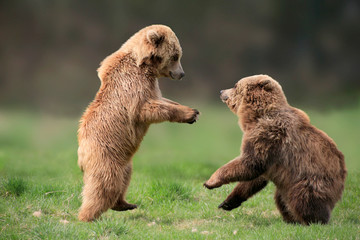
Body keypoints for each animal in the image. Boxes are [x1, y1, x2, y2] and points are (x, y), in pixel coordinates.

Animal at [77, 24, 200, 221]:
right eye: (176, 56)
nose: (181, 74)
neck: (145, 66)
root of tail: (81, 154)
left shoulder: (151, 85)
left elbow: (163, 100)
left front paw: (190, 111)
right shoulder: (133, 86)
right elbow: (148, 109)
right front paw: (190, 113)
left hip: (125, 162)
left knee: (124, 179)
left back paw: (126, 204)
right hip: (105, 156)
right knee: (105, 184)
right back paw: (87, 216)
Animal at [202, 75, 346, 225]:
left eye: (235, 85)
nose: (221, 91)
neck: (256, 116)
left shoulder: (268, 136)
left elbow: (250, 163)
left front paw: (210, 181)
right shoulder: (269, 154)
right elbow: (255, 178)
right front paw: (227, 202)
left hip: (311, 180)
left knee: (302, 198)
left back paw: (311, 221)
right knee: (280, 198)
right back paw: (291, 219)